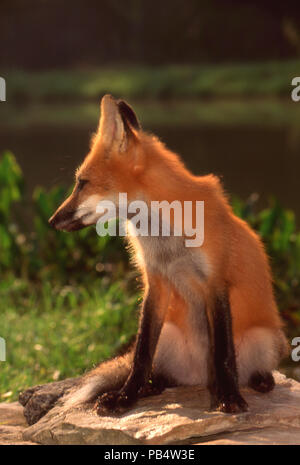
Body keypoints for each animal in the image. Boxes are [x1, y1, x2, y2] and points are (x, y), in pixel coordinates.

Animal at [45, 96, 288, 416]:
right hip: (169, 336)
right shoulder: (156, 282)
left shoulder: (215, 283)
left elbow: (223, 354)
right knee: (159, 372)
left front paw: (229, 397)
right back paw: (152, 387)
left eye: (81, 183)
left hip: (264, 338)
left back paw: (260, 380)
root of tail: (198, 378)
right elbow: (140, 356)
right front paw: (125, 397)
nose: (51, 221)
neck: (168, 242)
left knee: (247, 369)